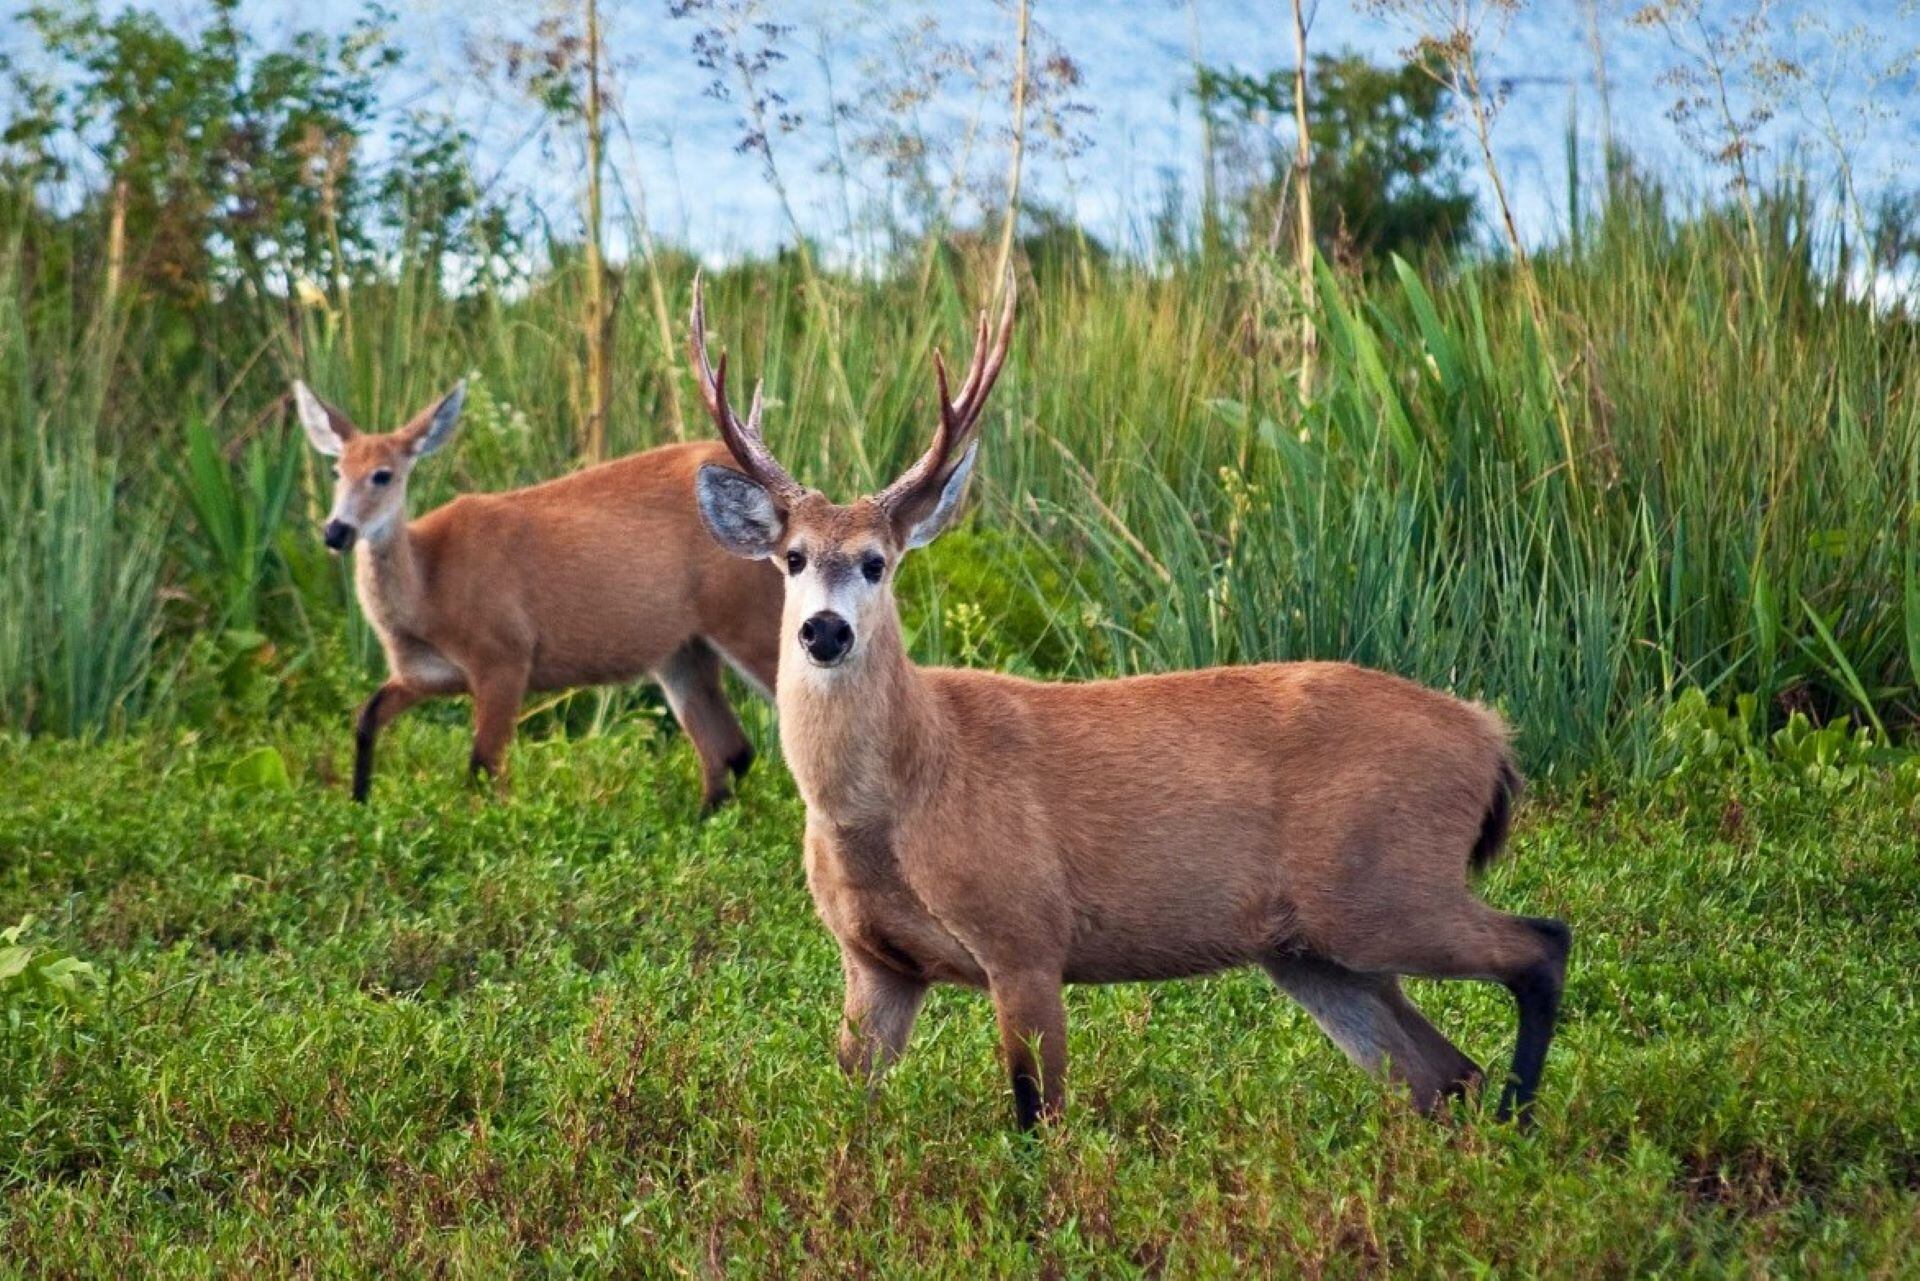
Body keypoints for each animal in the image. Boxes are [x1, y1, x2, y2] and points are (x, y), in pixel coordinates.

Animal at [293, 379, 783, 809]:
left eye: (383, 475)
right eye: (336, 470)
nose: (336, 531)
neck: (429, 589)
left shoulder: (505, 655)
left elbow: (484, 765)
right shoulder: (423, 675)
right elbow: (366, 717)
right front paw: (358, 804)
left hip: (749, 619)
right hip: (681, 651)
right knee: (730, 751)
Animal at [686, 278, 1571, 1131]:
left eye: (877, 561)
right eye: (793, 556)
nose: (824, 630)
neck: (905, 787)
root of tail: (1491, 736)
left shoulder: (1025, 932)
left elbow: (1037, 1115)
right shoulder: (874, 965)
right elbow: (849, 1102)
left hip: (1387, 884)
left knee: (1540, 947)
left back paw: (1522, 1124)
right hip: (1317, 948)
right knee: (1443, 1071)